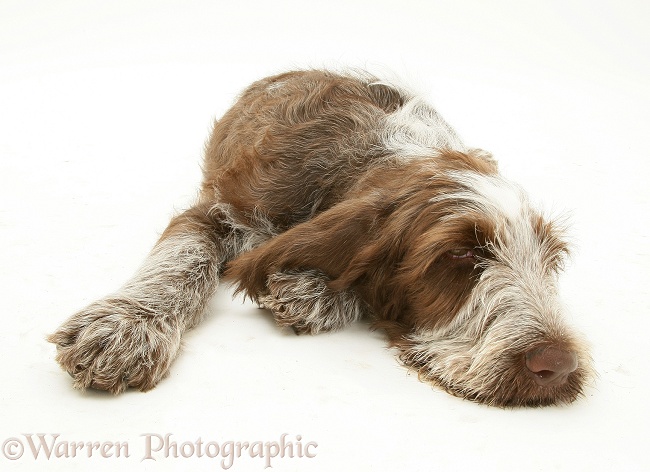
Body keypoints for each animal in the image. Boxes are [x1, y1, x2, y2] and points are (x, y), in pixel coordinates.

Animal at [48, 69, 588, 406]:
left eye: (551, 261)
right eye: (460, 254)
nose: (559, 367)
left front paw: (314, 291)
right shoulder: (222, 208)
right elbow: (183, 255)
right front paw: (126, 326)